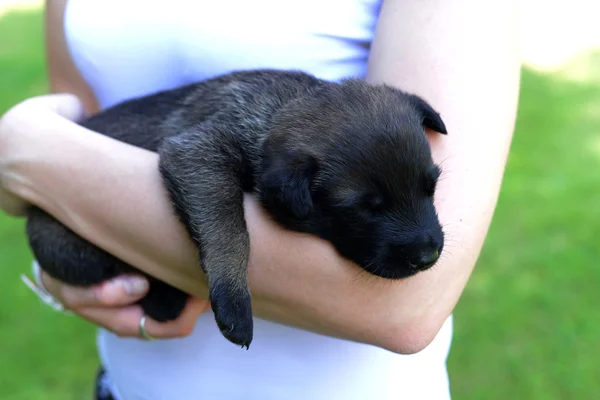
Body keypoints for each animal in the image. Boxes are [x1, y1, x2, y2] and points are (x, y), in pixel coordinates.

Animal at [24, 69, 446, 350]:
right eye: (363, 209)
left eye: (432, 187)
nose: (428, 256)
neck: (274, 111)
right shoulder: (199, 152)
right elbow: (229, 229)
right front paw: (233, 297)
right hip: (73, 251)